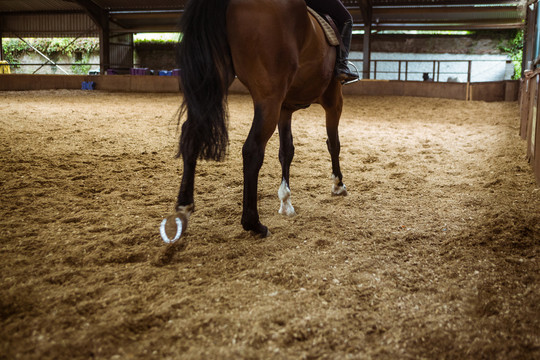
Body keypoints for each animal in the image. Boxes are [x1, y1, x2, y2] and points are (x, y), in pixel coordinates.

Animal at [158, 0, 348, 242]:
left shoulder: (285, 108)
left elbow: (287, 151)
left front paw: (286, 202)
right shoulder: (334, 99)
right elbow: (333, 143)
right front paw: (338, 184)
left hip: (214, 85)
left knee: (191, 136)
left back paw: (184, 208)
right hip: (269, 99)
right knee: (252, 150)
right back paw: (253, 223)